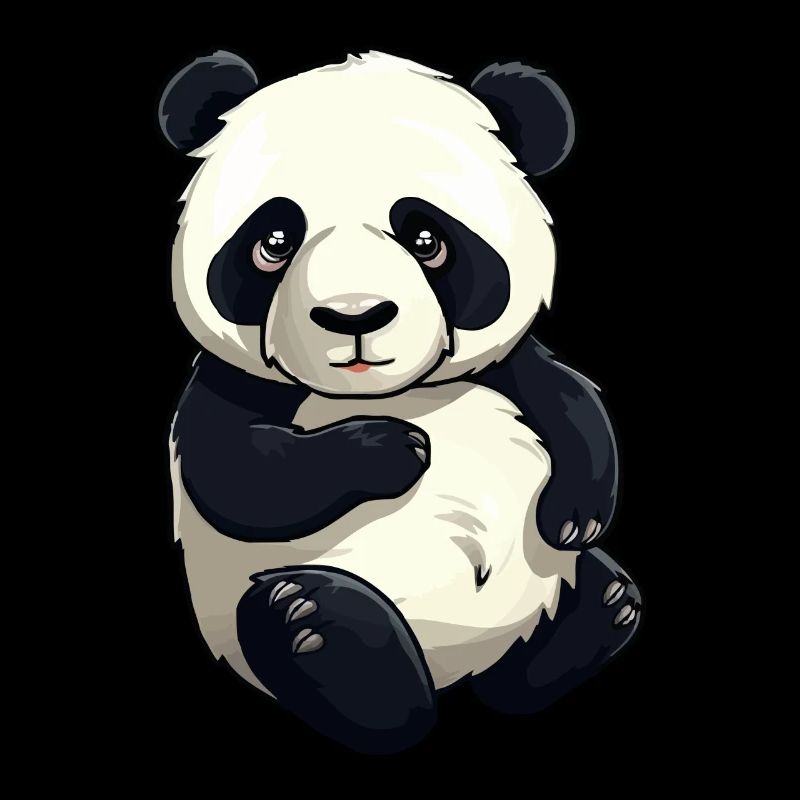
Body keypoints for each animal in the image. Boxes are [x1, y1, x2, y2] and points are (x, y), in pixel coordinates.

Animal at [159, 50, 641, 754]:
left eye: (426, 240)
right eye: (273, 242)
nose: (353, 316)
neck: (389, 393)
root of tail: (456, 669)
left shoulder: (505, 364)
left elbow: (567, 395)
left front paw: (577, 517)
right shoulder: (227, 382)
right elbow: (237, 475)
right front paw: (395, 448)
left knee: (528, 666)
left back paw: (598, 611)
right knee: (330, 643)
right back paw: (322, 633)